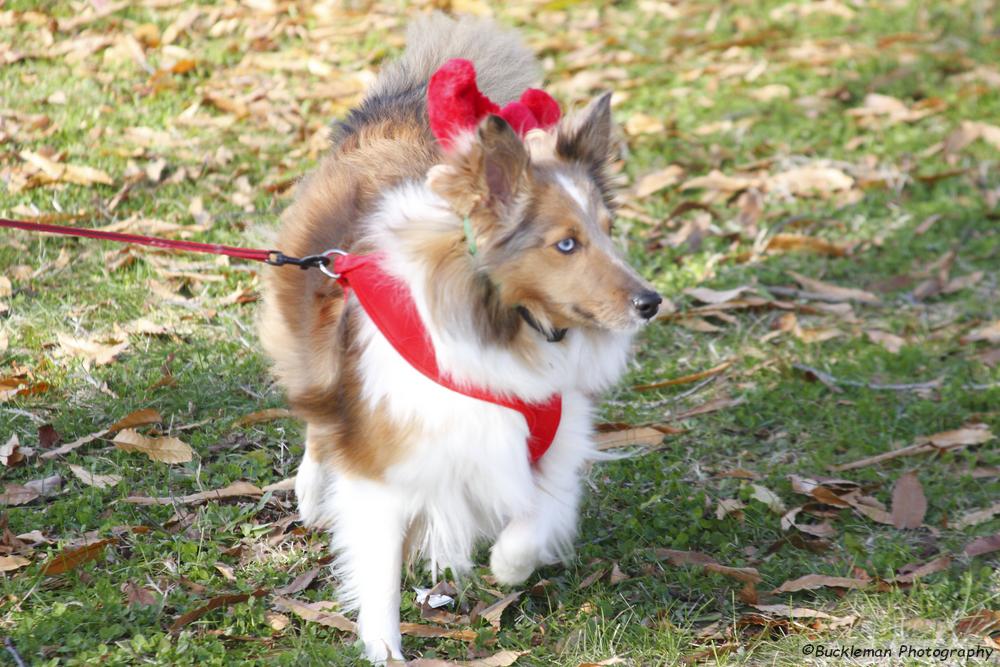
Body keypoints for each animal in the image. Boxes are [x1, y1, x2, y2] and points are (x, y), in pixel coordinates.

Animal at [260, 13, 664, 664]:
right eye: (566, 244)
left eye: (608, 232)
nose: (651, 303)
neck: (510, 328)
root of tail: (398, 110)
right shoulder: (387, 465)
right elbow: (378, 570)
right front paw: (385, 647)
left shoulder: (548, 446)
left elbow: (533, 521)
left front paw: (506, 565)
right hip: (310, 349)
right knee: (319, 420)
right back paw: (312, 492)